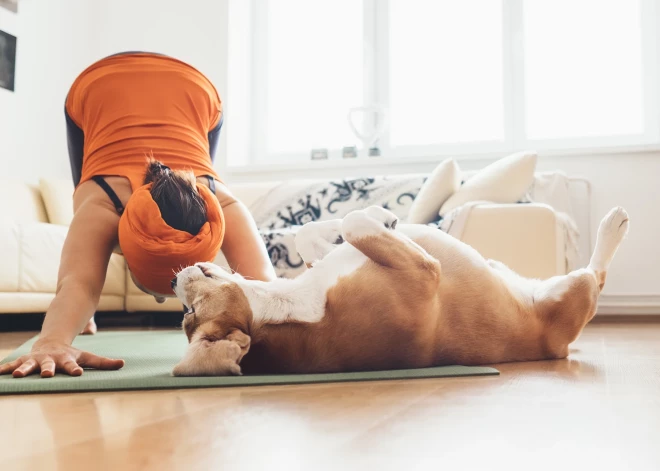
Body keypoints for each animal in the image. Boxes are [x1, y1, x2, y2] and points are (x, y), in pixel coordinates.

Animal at [169, 206, 628, 376]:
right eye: (188, 314)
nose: (172, 281)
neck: (292, 306)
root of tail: (560, 348)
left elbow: (310, 233)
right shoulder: (425, 273)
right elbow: (354, 221)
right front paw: (380, 212)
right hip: (575, 291)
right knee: (597, 275)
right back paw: (612, 226)